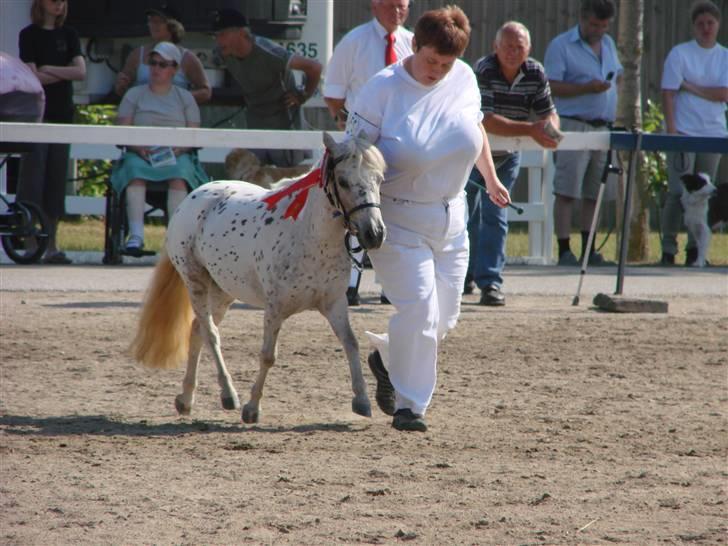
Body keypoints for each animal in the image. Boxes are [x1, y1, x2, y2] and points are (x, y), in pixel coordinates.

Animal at [133, 132, 390, 420]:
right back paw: (228, 395)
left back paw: (186, 399)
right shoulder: (275, 309)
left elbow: (351, 343)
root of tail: (193, 196)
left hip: (223, 291)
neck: (309, 236)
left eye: (379, 179)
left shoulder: (335, 304)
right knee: (210, 333)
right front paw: (252, 408)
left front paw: (362, 400)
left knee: (197, 330)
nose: (374, 234)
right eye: (343, 181)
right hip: (195, 282)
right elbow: (268, 356)